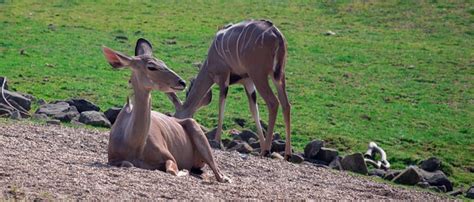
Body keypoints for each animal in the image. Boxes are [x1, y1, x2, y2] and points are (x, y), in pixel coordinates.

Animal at [103, 38, 230, 183]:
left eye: (164, 63)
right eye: (151, 66)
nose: (182, 82)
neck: (134, 145)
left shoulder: (169, 157)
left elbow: (171, 170)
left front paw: (183, 171)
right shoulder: (112, 158)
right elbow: (127, 163)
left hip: (197, 131)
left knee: (219, 173)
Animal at [167, 19, 292, 159]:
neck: (209, 62)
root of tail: (277, 35)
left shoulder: (223, 78)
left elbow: (221, 104)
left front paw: (217, 141)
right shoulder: (247, 82)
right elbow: (254, 110)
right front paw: (261, 145)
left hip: (259, 75)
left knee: (273, 102)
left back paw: (266, 151)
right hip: (278, 75)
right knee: (286, 104)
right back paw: (287, 154)